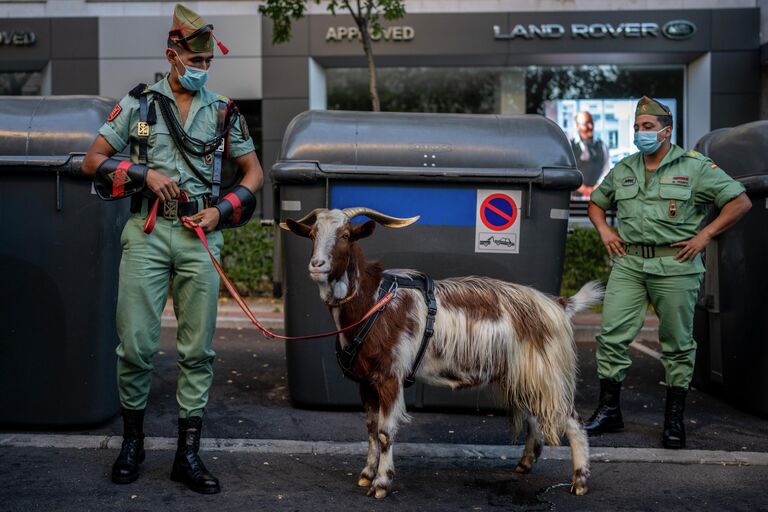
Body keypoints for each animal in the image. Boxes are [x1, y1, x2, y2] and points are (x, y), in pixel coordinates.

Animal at [280, 206, 604, 498]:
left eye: (346, 235)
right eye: (312, 234)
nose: (317, 265)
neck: (373, 302)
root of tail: (559, 304)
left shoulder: (390, 377)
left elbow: (385, 432)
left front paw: (382, 483)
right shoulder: (366, 381)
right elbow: (371, 429)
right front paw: (367, 474)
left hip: (546, 372)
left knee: (573, 421)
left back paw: (580, 482)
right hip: (522, 373)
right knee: (535, 417)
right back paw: (525, 463)